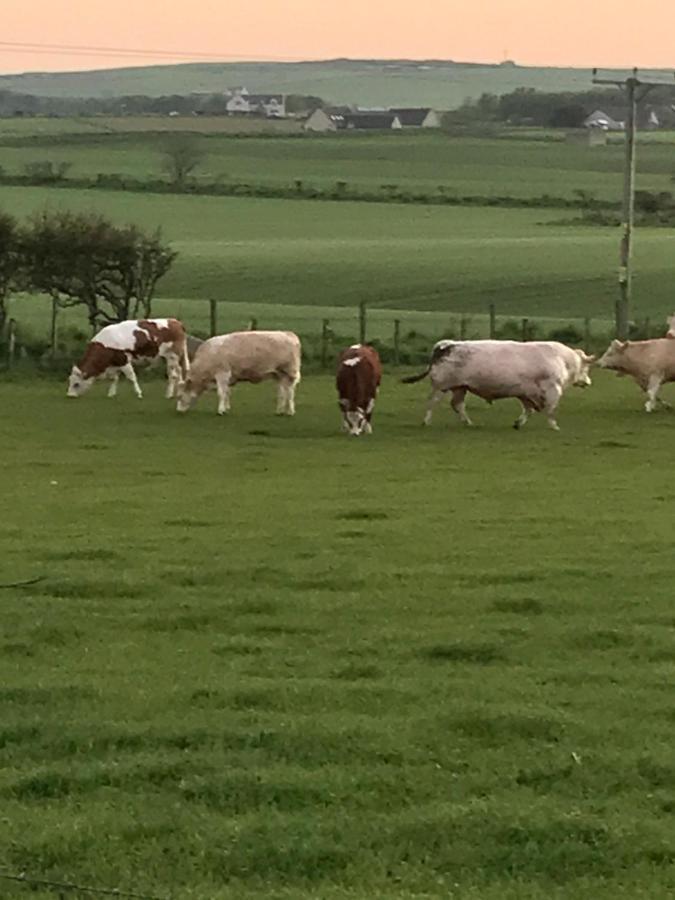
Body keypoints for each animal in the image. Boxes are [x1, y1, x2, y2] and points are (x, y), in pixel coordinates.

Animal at [404, 342, 596, 432]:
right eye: (586, 368)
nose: (588, 382)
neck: (563, 359)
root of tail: (446, 345)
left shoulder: (526, 392)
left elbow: (528, 410)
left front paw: (518, 423)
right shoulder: (552, 389)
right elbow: (551, 409)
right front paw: (554, 426)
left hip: (460, 387)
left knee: (458, 405)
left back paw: (468, 423)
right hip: (441, 386)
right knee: (432, 403)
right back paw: (426, 421)